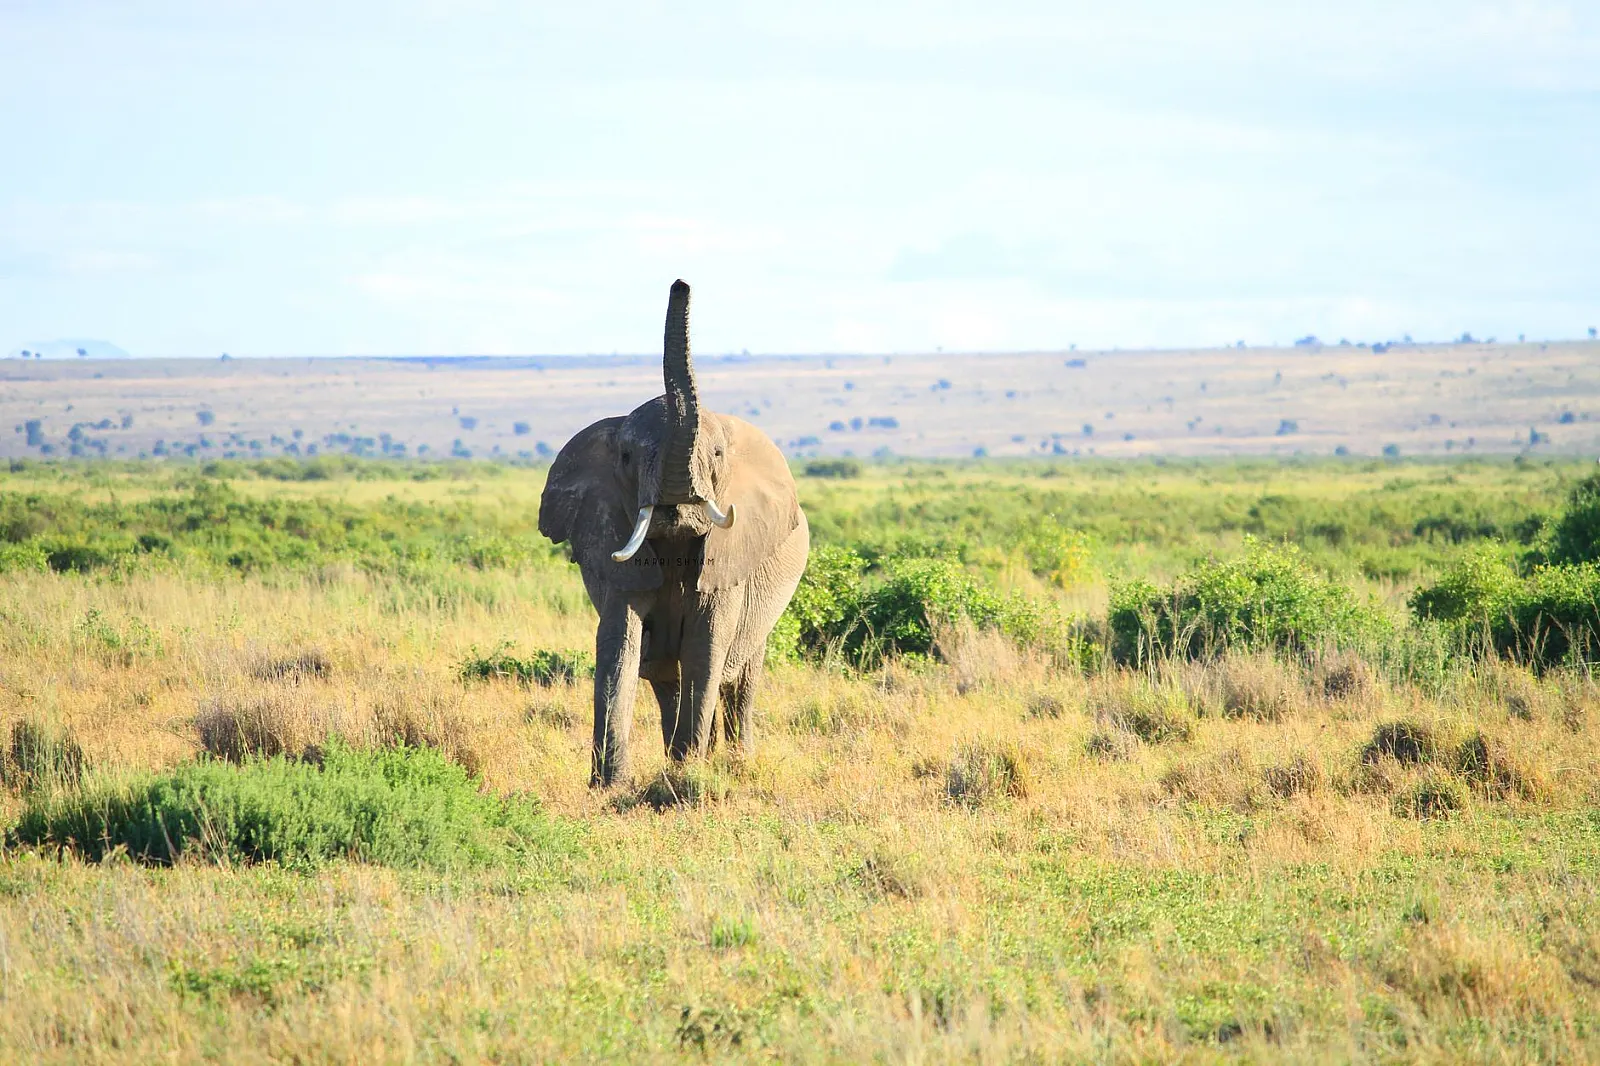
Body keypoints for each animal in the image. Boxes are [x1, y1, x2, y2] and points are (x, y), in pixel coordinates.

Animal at [538, 280, 810, 786]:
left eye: (718, 454)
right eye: (626, 456)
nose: (681, 284)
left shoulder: (729, 558)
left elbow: (707, 644)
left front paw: (689, 772)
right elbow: (619, 641)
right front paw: (611, 785)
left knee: (738, 678)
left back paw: (733, 760)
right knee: (667, 677)